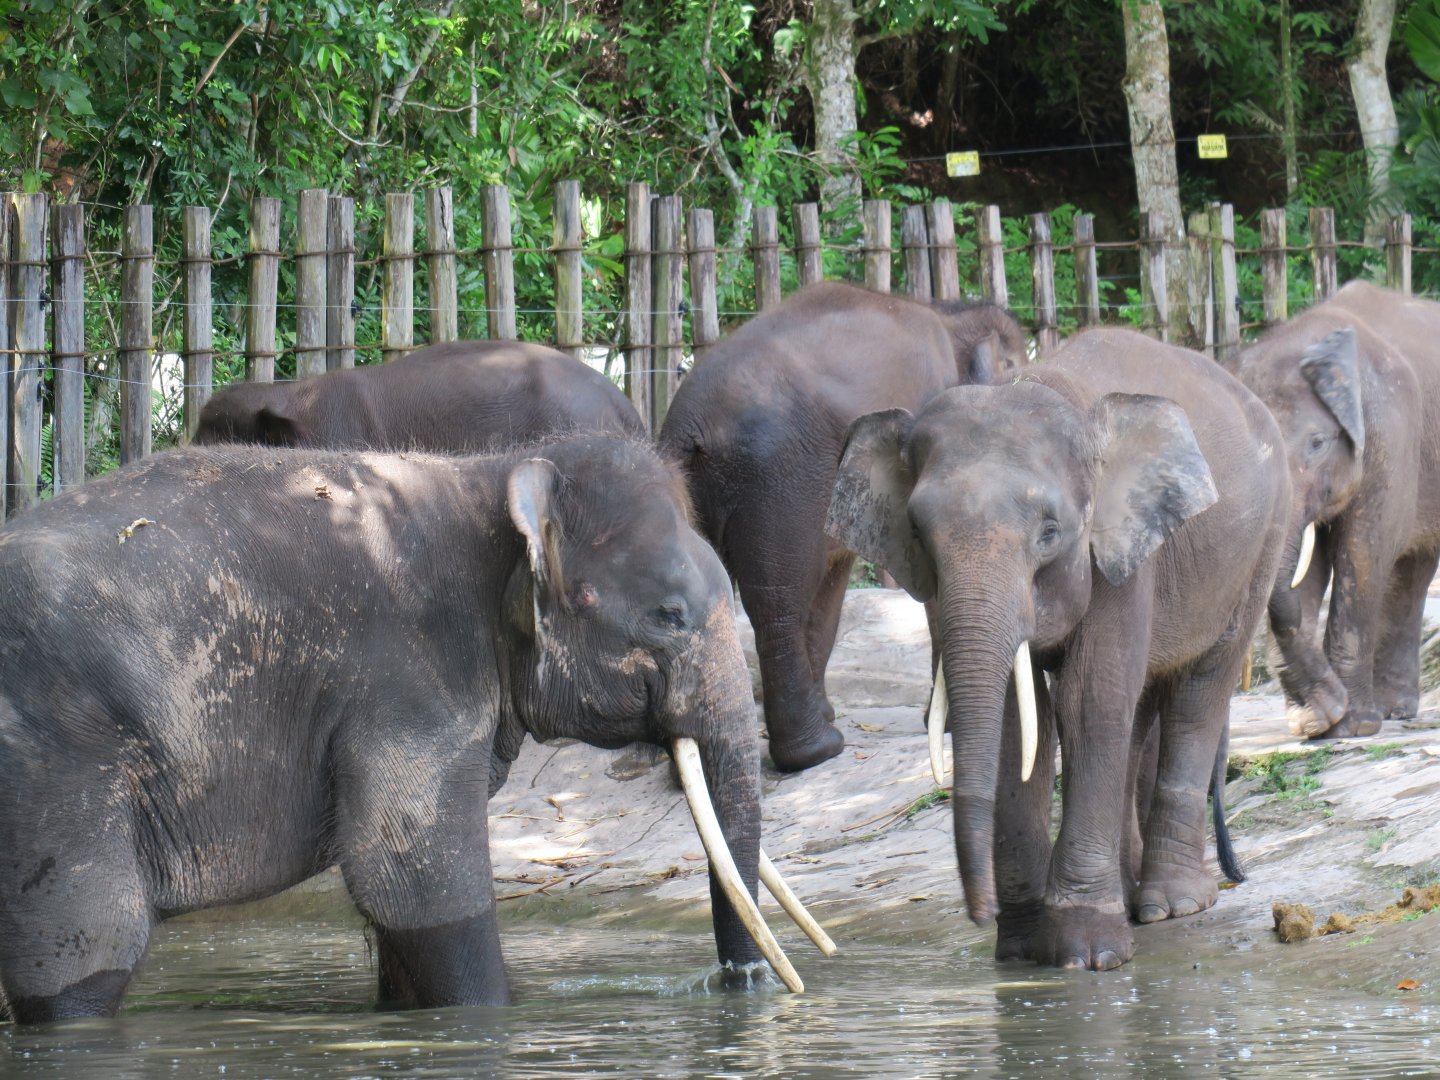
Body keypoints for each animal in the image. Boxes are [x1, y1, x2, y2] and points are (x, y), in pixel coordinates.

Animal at [0, 435, 819, 1022]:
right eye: (670, 616)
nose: (739, 983)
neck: (493, 476)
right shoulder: (409, 681)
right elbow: (414, 880)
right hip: (57, 760)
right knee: (86, 946)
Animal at [659, 280, 1025, 772]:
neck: (953, 318)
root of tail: (690, 426)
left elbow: (833, 594)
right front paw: (945, 726)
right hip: (778, 483)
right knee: (780, 601)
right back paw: (816, 751)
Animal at [827, 327, 1290, 970]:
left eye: (1050, 532)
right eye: (918, 534)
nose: (980, 912)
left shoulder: (1122, 553)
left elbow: (1090, 701)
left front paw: (1087, 955)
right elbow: (1018, 724)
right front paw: (1023, 950)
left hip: (1263, 541)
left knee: (1198, 692)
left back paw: (1171, 905)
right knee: (1141, 711)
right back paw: (1133, 897)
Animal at [1228, 282, 1440, 739]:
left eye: (1317, 443)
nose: (1332, 708)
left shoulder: (1389, 434)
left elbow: (1361, 554)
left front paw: (1352, 726)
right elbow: (1306, 570)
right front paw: (1317, 723)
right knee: (1414, 568)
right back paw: (1395, 710)